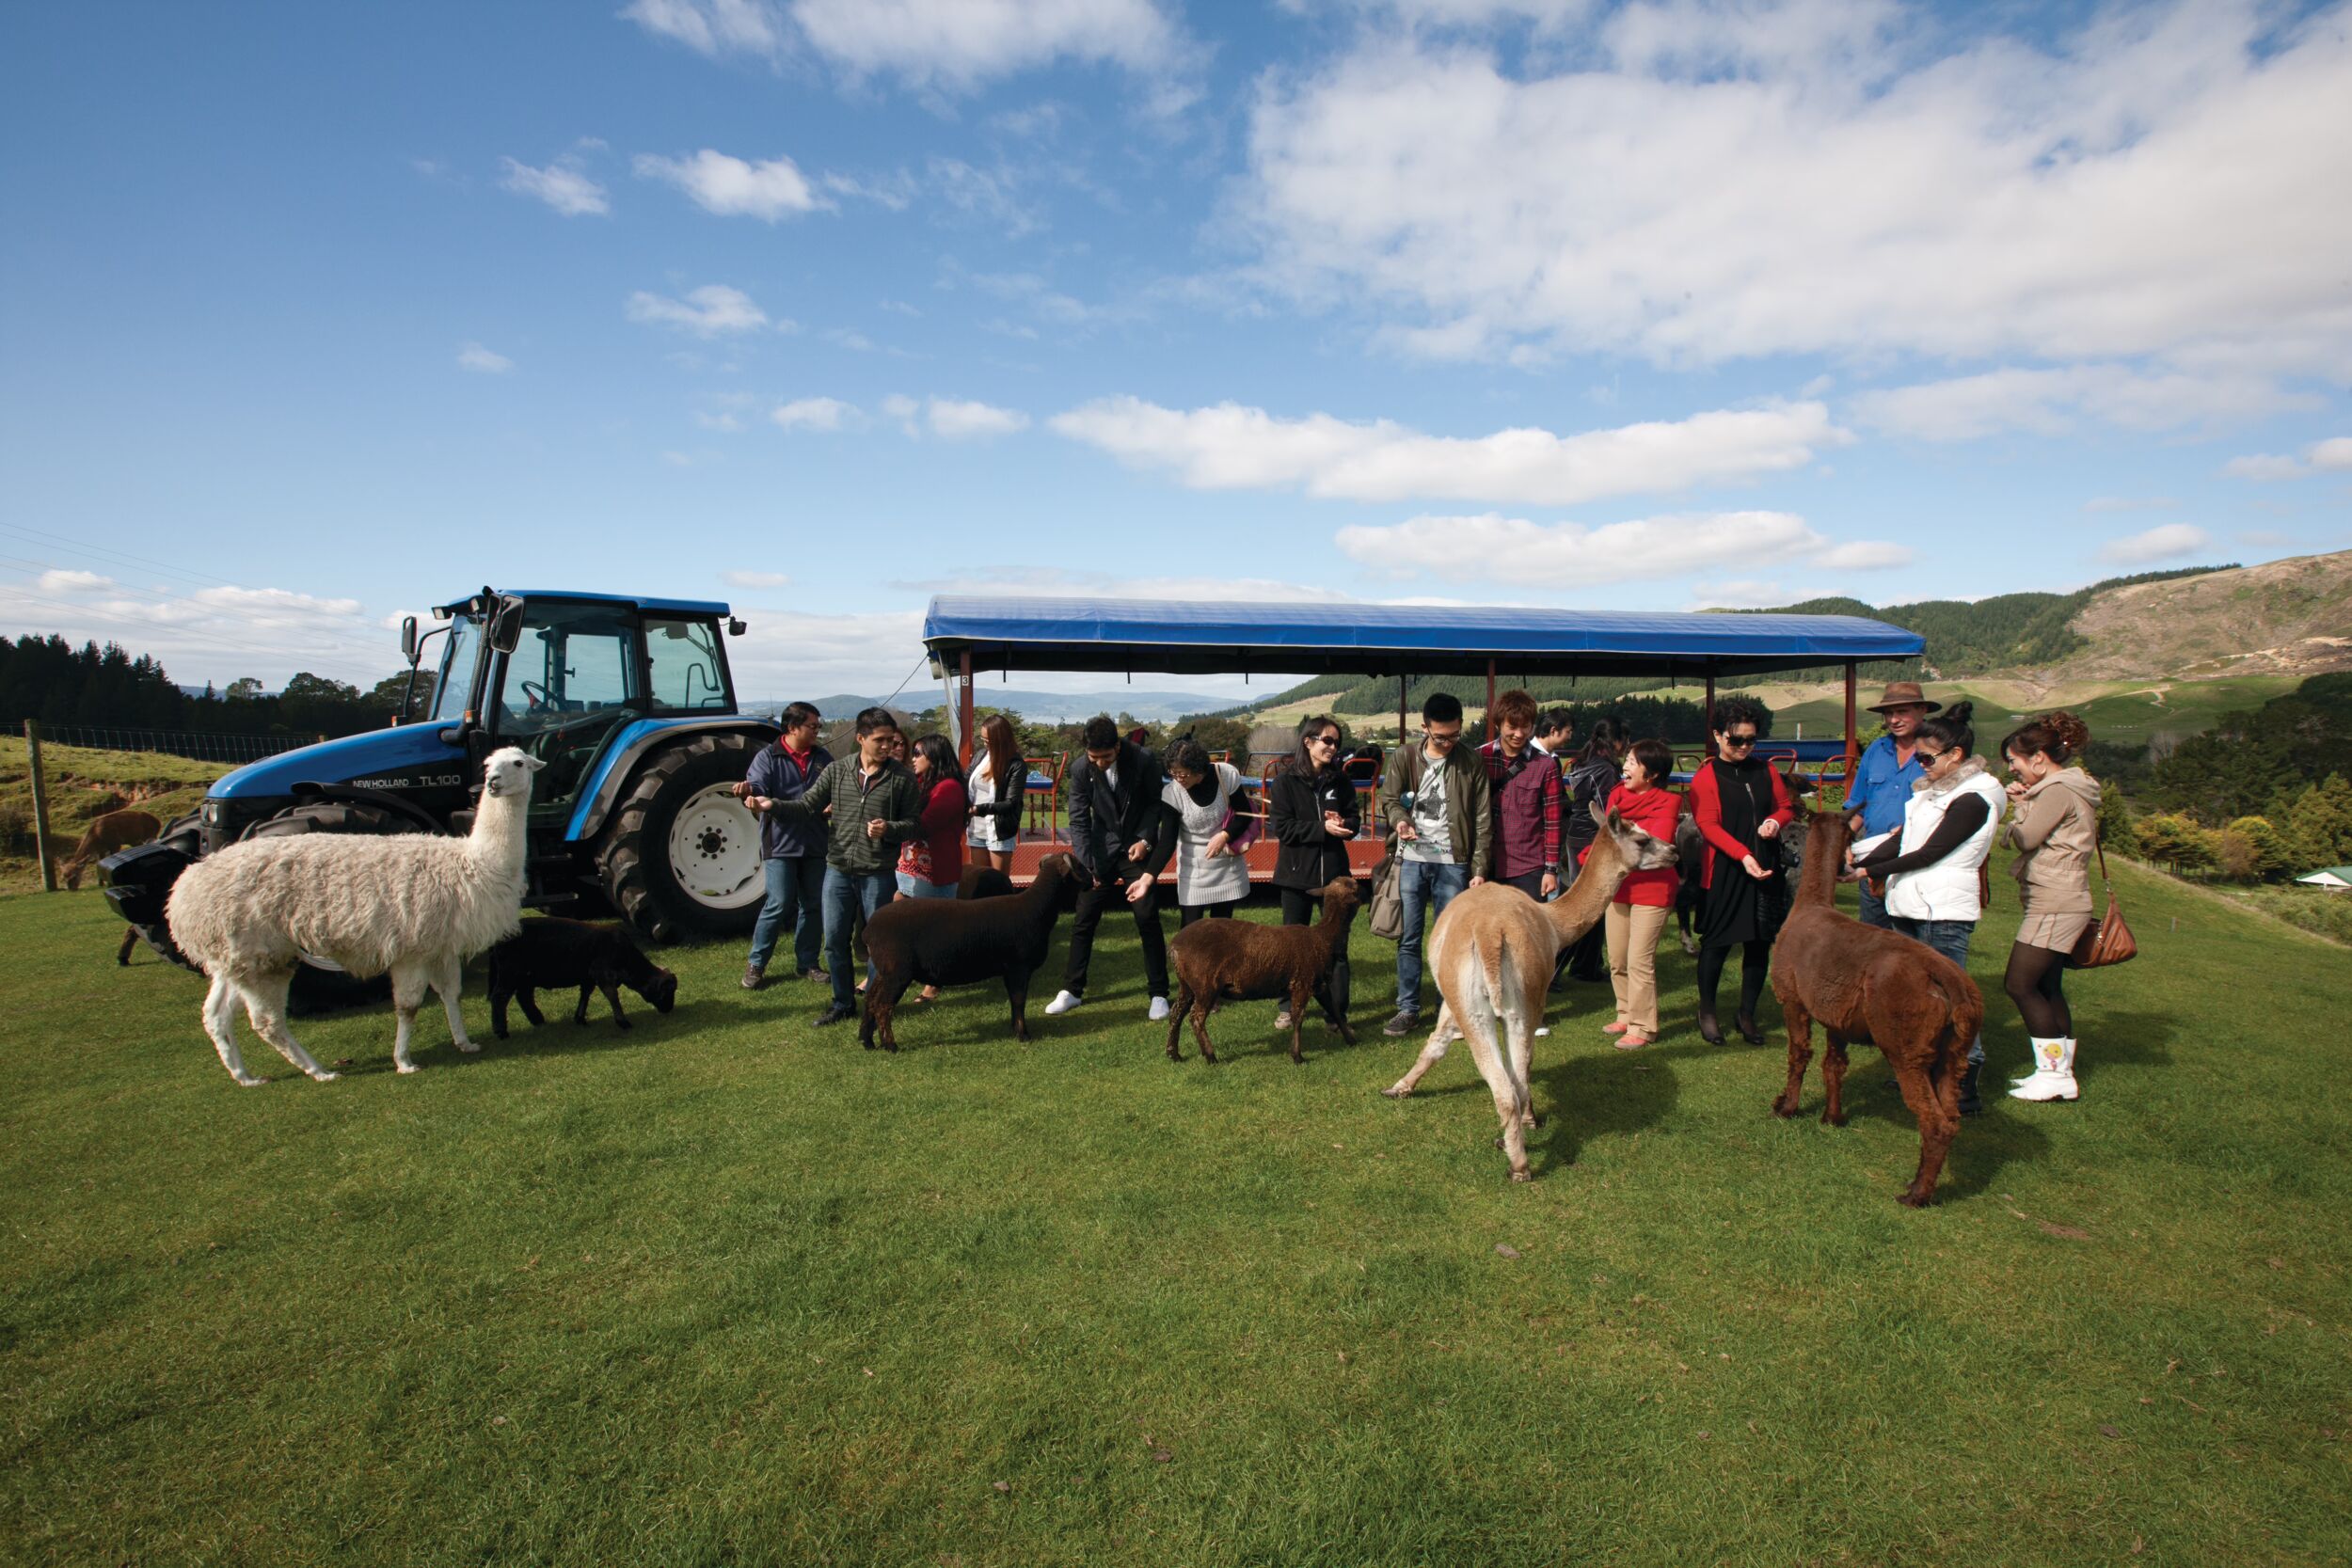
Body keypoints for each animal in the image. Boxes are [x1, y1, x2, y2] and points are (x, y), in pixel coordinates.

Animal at [489, 911, 682, 1034]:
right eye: (668, 991)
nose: (669, 1009)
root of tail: (498, 939)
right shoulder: (602, 973)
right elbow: (613, 996)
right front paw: (623, 1022)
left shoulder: (589, 977)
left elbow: (585, 995)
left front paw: (580, 1018)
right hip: (510, 973)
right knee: (500, 997)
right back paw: (501, 1031)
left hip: (525, 976)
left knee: (524, 997)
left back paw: (537, 1020)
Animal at [1162, 879, 1364, 1062]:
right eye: (1356, 889)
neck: (1324, 937)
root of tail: (1174, 946)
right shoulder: (1302, 983)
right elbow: (1298, 1018)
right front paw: (1297, 1056)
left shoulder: (1319, 986)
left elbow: (1334, 1011)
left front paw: (1351, 1040)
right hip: (1205, 984)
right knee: (1196, 1017)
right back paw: (1210, 1056)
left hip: (1187, 984)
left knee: (1176, 1013)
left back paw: (1174, 1054)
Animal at [1769, 817, 1976, 1212]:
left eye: (1788, 836)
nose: (1848, 866)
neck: (1808, 907)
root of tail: (1949, 981)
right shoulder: (1837, 1013)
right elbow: (1834, 1066)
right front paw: (1832, 1117)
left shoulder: (1793, 998)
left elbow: (1799, 1055)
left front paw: (1786, 1107)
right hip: (1953, 1050)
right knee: (1952, 1116)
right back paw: (1922, 1182)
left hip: (1906, 1041)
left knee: (1935, 1122)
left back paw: (1916, 1195)